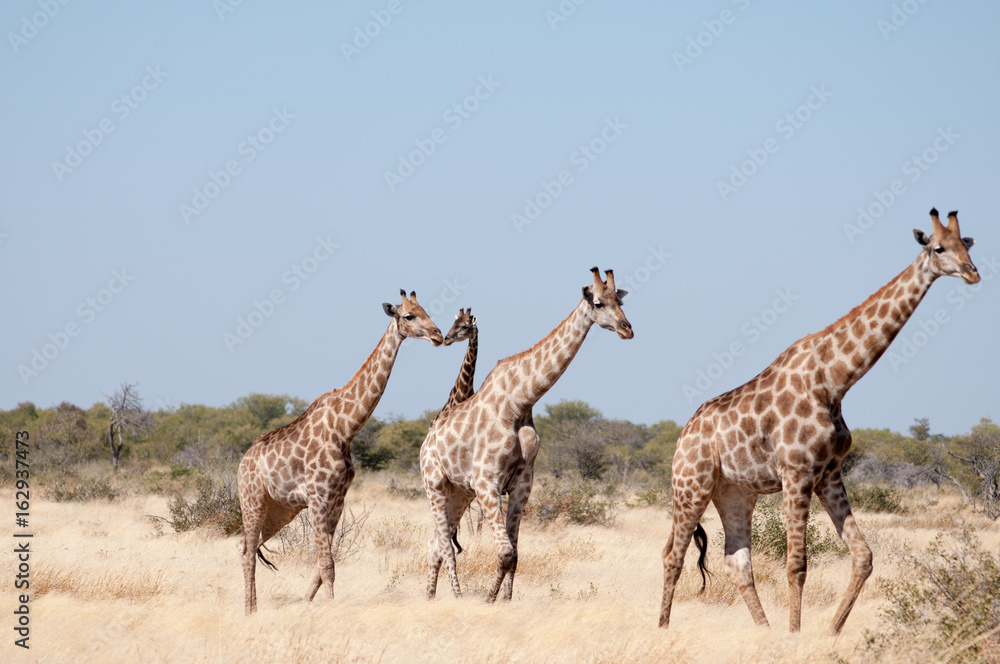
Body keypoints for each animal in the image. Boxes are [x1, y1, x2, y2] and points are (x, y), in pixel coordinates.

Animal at [237, 290, 442, 614]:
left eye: (427, 311)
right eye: (409, 315)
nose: (438, 335)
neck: (346, 428)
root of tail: (242, 462)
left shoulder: (337, 501)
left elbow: (322, 569)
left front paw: (306, 605)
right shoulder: (318, 498)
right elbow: (327, 565)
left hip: (279, 510)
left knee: (249, 546)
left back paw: (253, 607)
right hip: (253, 500)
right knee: (246, 549)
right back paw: (249, 611)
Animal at [420, 268, 633, 602]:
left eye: (620, 301)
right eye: (598, 303)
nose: (627, 329)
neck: (520, 401)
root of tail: (427, 439)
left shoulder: (522, 484)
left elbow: (515, 555)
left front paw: (504, 602)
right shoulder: (488, 482)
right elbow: (505, 553)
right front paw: (487, 601)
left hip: (460, 492)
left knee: (435, 545)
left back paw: (429, 598)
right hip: (435, 485)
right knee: (445, 547)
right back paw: (456, 597)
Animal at [659, 209, 979, 634]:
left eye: (967, 244)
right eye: (939, 247)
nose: (972, 273)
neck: (834, 380)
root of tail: (683, 437)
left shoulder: (829, 473)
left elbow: (863, 556)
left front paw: (830, 632)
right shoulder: (797, 473)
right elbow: (796, 565)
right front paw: (796, 635)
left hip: (735, 493)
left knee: (737, 561)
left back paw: (764, 633)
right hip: (690, 486)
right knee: (673, 555)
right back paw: (661, 630)